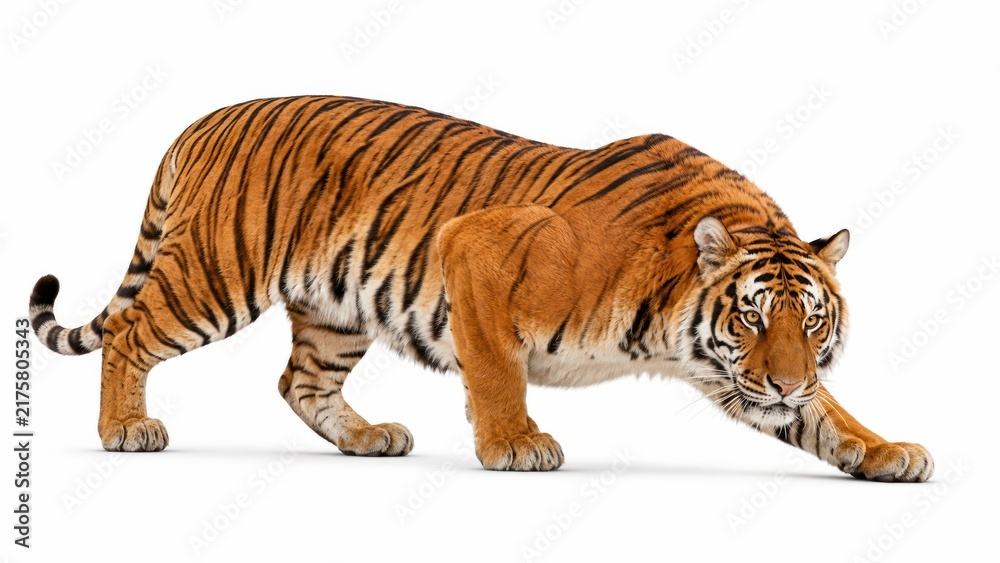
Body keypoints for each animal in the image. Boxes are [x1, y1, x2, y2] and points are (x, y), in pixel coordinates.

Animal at [28, 95, 933, 481]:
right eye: (748, 319)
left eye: (810, 324)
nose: (782, 379)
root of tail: (203, 119)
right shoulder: (476, 248)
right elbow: (496, 369)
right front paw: (514, 445)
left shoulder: (748, 381)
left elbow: (828, 415)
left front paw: (886, 450)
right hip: (217, 275)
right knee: (130, 333)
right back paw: (126, 429)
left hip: (334, 310)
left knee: (299, 381)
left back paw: (368, 438)